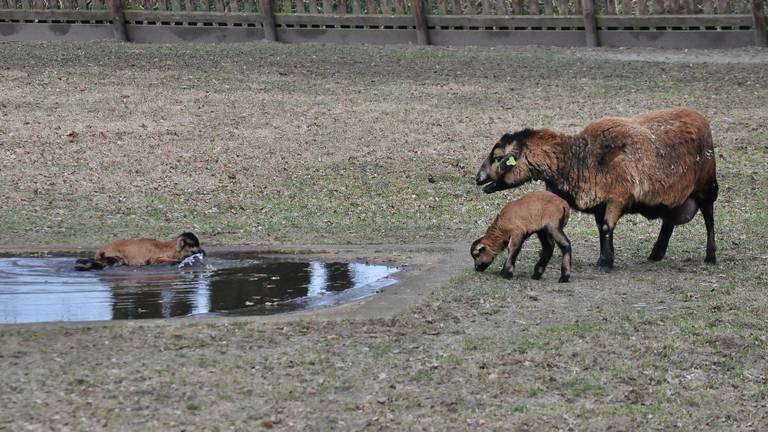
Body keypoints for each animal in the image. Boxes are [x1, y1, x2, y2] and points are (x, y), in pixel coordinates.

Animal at [474, 107, 720, 270]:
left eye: (497, 158)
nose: (477, 178)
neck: (579, 158)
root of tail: (699, 117)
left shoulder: (618, 198)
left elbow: (606, 228)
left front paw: (607, 263)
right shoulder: (600, 203)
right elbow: (601, 230)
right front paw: (603, 258)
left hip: (706, 186)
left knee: (709, 218)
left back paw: (710, 256)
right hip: (674, 196)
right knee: (668, 222)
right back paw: (656, 253)